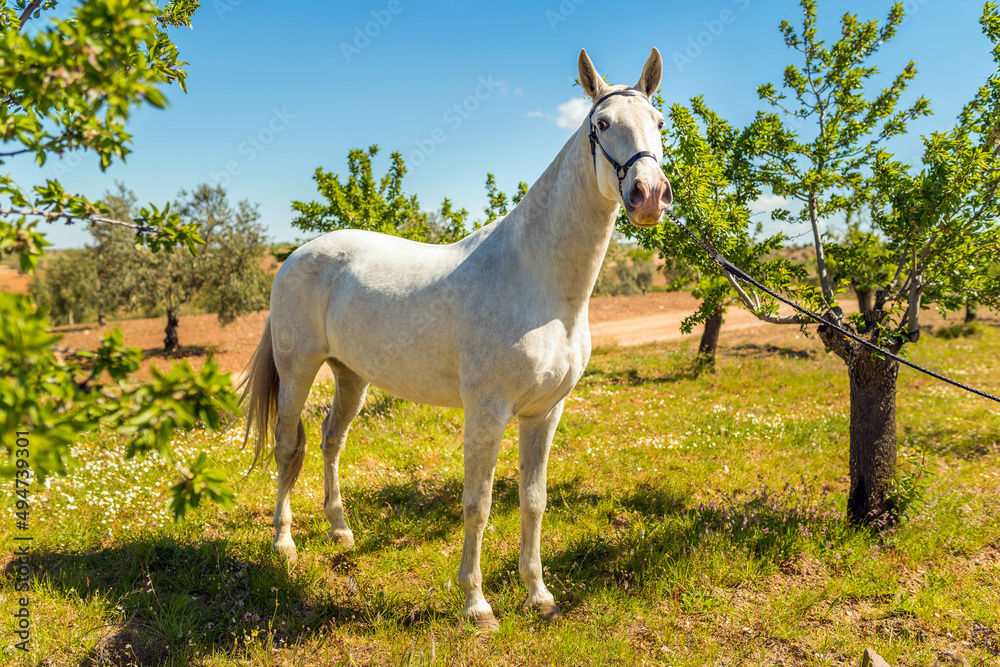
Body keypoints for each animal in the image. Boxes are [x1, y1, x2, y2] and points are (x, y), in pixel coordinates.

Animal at [241, 48, 672, 630]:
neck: (537, 281)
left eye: (660, 123)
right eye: (601, 124)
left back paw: (340, 531)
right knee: (290, 447)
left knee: (332, 440)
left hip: (351, 375)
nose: (648, 196)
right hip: (297, 370)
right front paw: (477, 604)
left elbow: (533, 499)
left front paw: (538, 594)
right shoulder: (487, 411)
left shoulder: (544, 412)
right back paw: (283, 542)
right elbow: (479, 502)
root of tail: (293, 257)